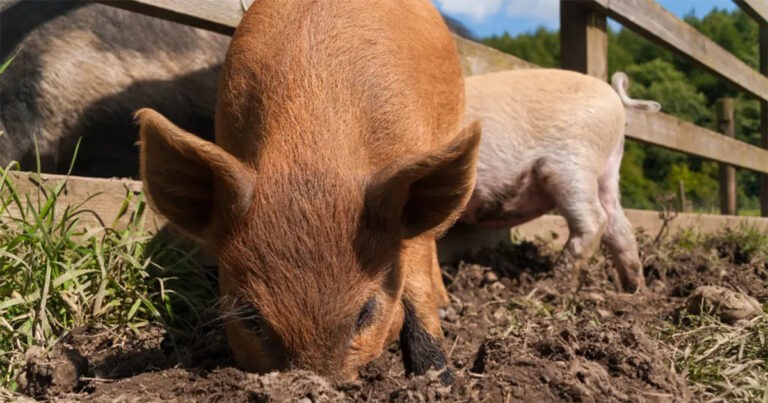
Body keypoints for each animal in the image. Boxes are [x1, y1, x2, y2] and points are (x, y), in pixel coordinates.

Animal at [456, 69, 660, 294]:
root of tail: (613, 95)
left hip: (573, 164)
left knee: (595, 220)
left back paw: (549, 289)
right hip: (609, 170)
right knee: (620, 227)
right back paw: (636, 291)